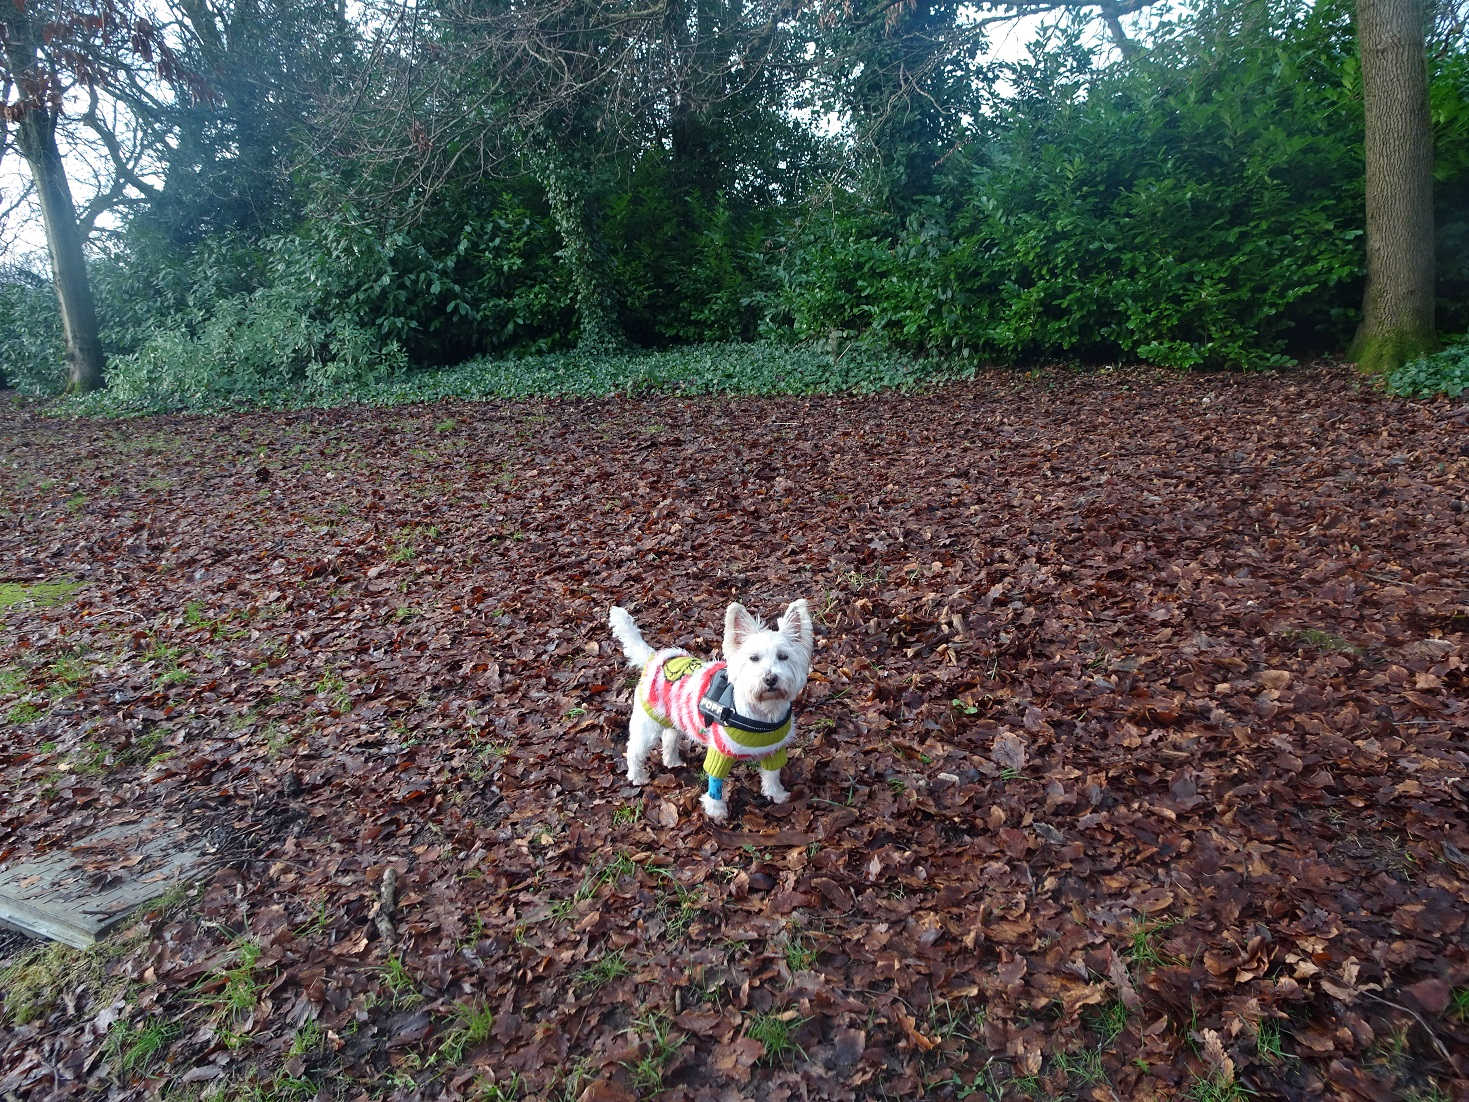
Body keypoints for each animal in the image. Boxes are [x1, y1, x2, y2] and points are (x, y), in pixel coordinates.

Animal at [608, 605, 816, 822]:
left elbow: (772, 772)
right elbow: (715, 780)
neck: (762, 712)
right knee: (634, 750)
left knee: (669, 738)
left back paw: (672, 761)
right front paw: (716, 810)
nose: (770, 678)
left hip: (675, 717)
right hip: (648, 724)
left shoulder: (773, 749)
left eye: (783, 656)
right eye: (754, 658)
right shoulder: (720, 750)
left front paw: (776, 794)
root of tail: (655, 657)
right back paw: (637, 776)